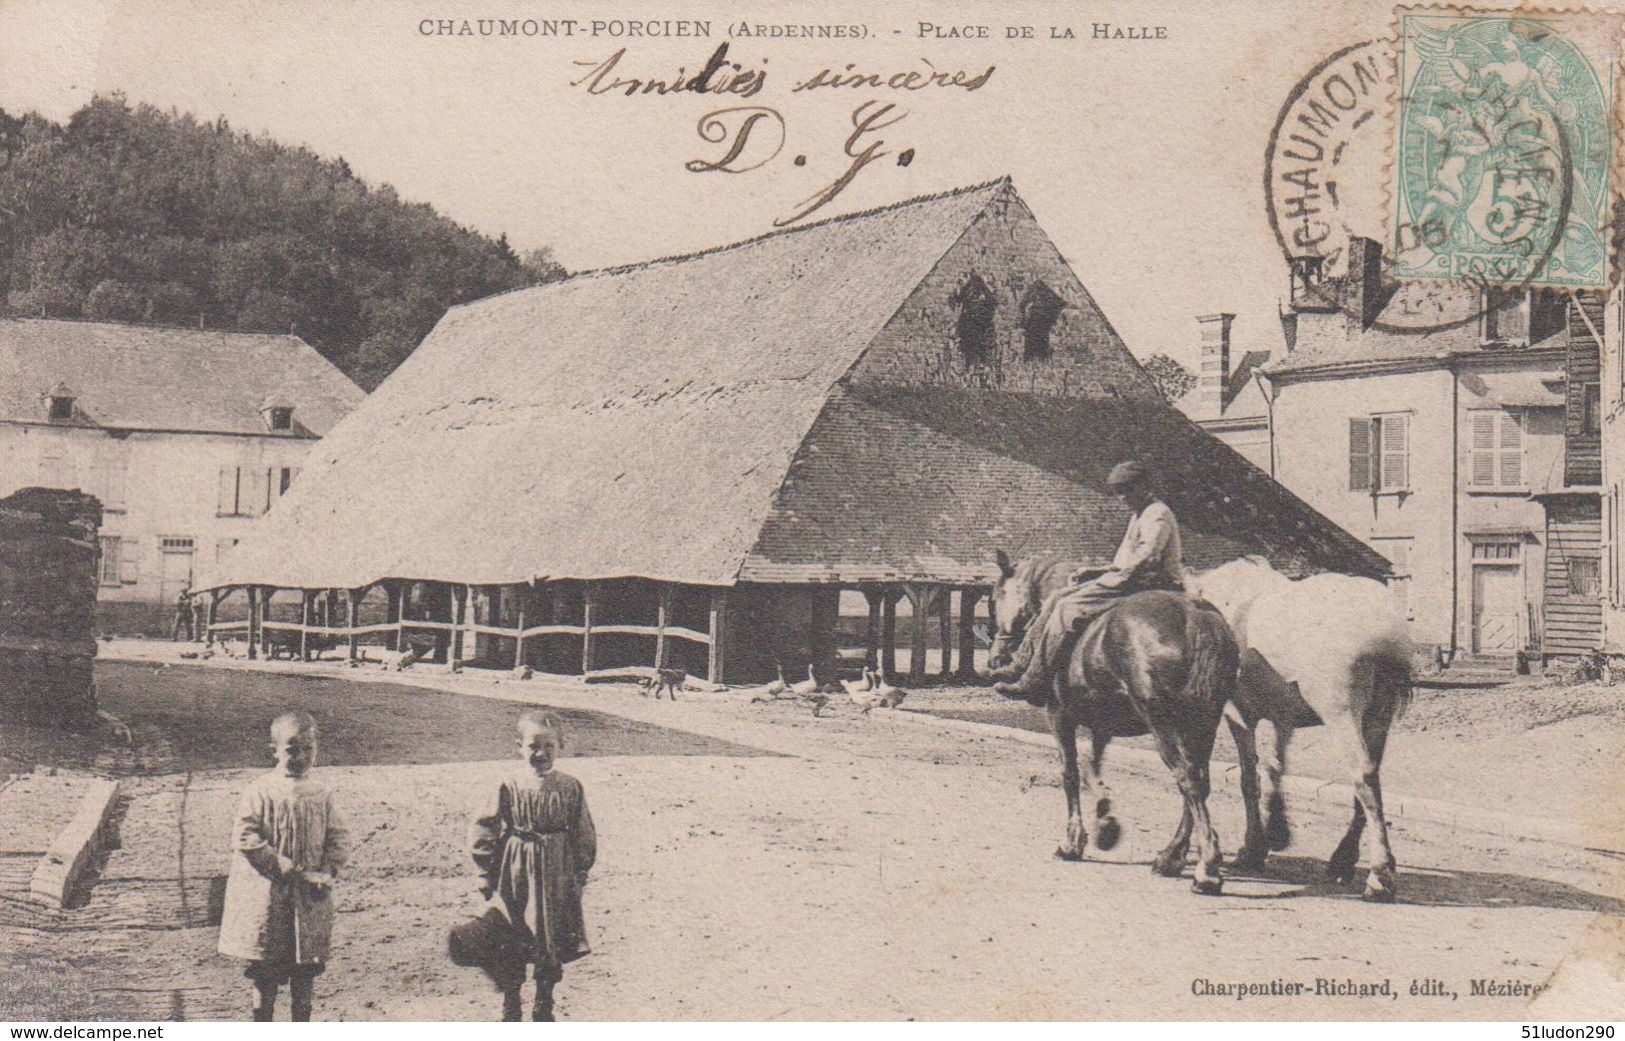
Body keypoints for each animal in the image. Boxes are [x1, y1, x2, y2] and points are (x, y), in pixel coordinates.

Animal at [981, 552, 1235, 896]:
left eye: (995, 600)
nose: (995, 660)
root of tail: (1196, 619)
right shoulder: (1103, 725)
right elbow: (1093, 769)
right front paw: (1104, 821)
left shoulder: (1059, 715)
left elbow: (1071, 774)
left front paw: (1072, 841)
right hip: (1203, 724)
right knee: (1200, 783)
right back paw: (1171, 856)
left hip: (1164, 724)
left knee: (1189, 780)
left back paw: (1206, 870)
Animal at [1189, 555, 1417, 896]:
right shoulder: (1284, 715)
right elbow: (1275, 766)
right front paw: (1275, 829)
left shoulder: (1237, 714)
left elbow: (1249, 778)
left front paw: (1253, 846)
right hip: (1379, 718)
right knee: (1368, 779)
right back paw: (1343, 859)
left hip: (1342, 714)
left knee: (1363, 775)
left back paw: (1379, 875)